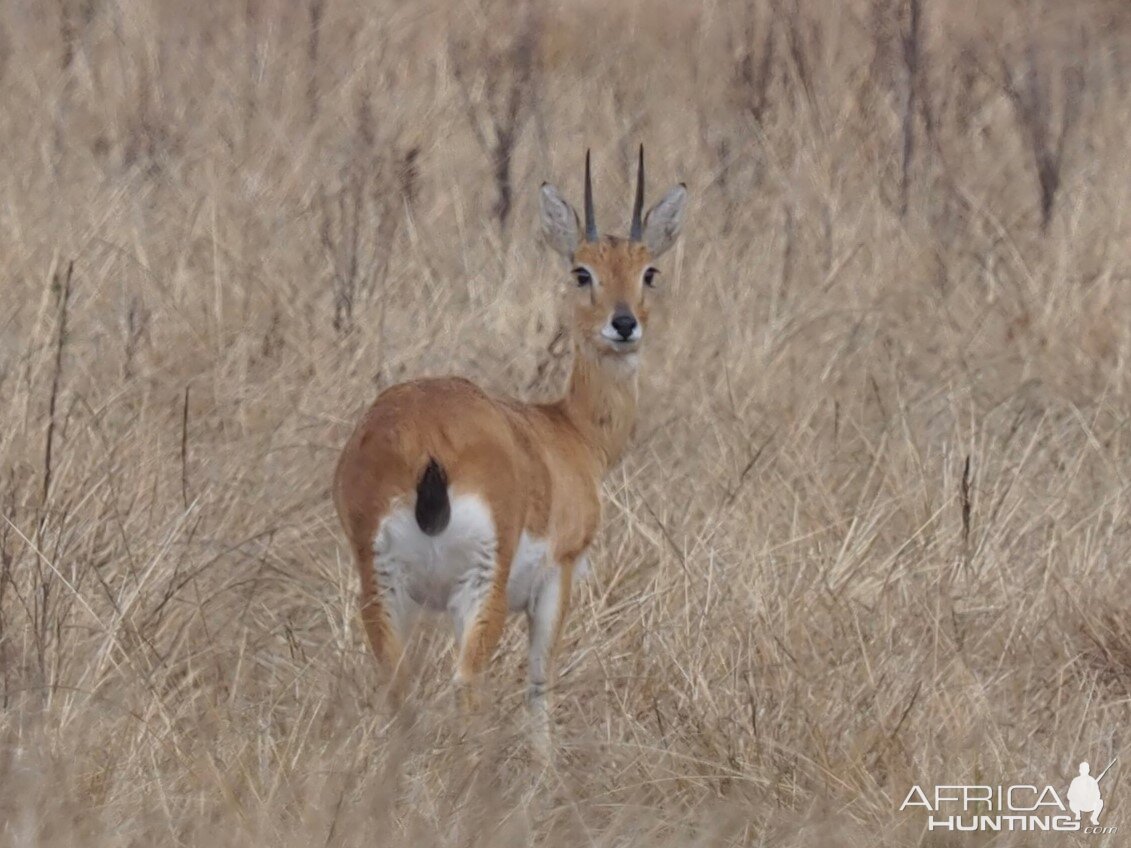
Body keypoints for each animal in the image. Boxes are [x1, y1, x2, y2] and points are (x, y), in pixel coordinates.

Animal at [332, 149, 687, 746]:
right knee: (467, 686)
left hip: (384, 588)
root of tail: (423, 442)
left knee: (398, 690)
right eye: (582, 270)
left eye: (648, 271)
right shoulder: (557, 578)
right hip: (479, 588)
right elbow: (539, 686)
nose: (623, 324)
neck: (568, 433)